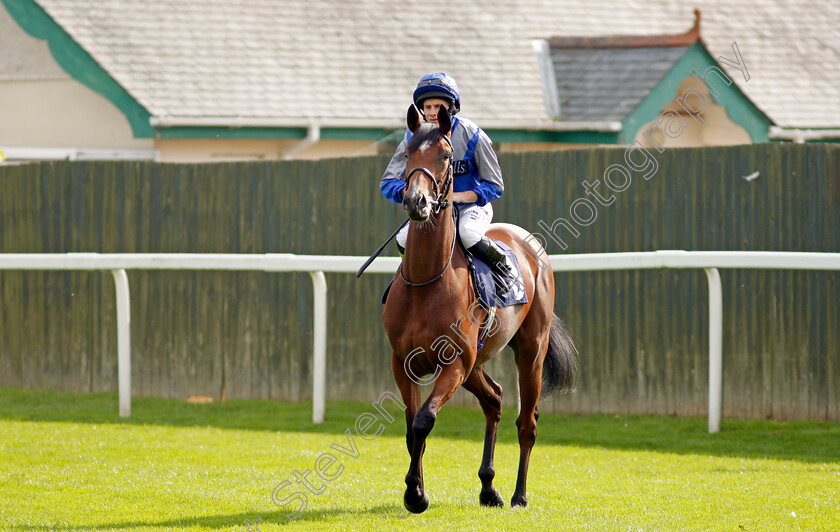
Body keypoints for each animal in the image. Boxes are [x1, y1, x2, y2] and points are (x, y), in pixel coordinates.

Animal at [386, 105, 576, 516]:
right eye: (407, 153)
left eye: (445, 155)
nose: (416, 202)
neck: (426, 282)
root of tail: (529, 243)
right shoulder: (404, 363)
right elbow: (410, 428)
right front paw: (416, 489)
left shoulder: (454, 363)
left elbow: (424, 420)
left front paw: (416, 494)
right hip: (477, 364)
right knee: (495, 399)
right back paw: (489, 488)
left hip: (530, 352)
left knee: (526, 423)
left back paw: (519, 495)